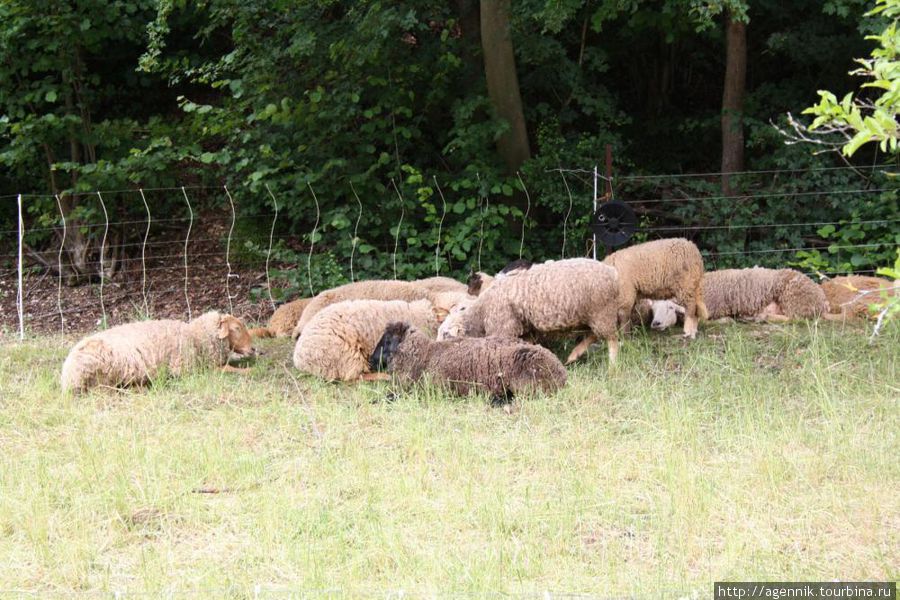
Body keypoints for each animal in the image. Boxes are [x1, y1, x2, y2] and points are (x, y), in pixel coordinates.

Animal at [62, 312, 253, 396]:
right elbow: (226, 368)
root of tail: (67, 376)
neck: (195, 336)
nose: (254, 349)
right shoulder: (187, 369)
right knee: (104, 390)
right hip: (102, 375)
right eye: (236, 328)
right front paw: (248, 370)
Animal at [458, 258, 620, 366]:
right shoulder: (526, 331)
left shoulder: (503, 327)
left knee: (611, 339)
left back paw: (612, 366)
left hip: (602, 311)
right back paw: (573, 356)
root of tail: (613, 273)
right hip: (591, 315)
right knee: (593, 335)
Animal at [648, 268, 828, 328]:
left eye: (670, 307)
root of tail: (822, 299)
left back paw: (760, 318)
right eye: (653, 309)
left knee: (795, 319)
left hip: (793, 300)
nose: (655, 323)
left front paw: (728, 320)